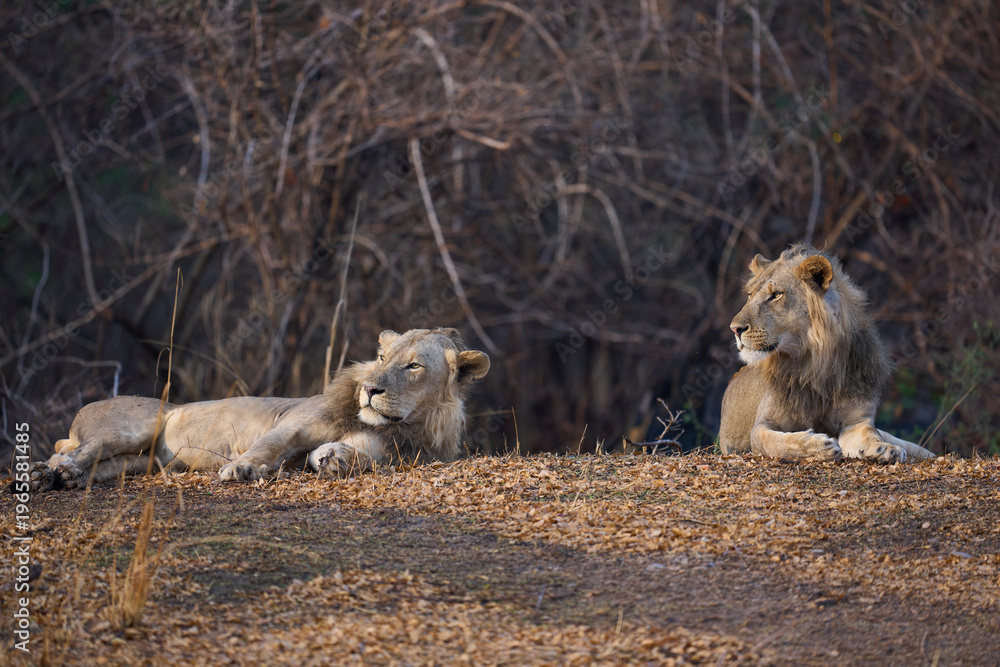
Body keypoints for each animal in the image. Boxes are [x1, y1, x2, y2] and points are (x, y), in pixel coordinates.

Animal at [24, 328, 490, 491]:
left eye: (412, 366)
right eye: (381, 357)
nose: (370, 390)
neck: (403, 425)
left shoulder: (382, 448)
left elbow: (354, 457)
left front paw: (334, 459)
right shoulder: (295, 423)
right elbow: (269, 445)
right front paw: (240, 468)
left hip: (143, 462)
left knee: (99, 462)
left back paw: (66, 477)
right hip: (138, 424)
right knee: (77, 451)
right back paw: (50, 475)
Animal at [718, 244, 935, 463]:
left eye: (776, 295)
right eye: (749, 295)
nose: (735, 329)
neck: (814, 362)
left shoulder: (856, 420)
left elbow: (869, 433)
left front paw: (883, 449)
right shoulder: (762, 425)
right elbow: (774, 442)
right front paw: (817, 446)